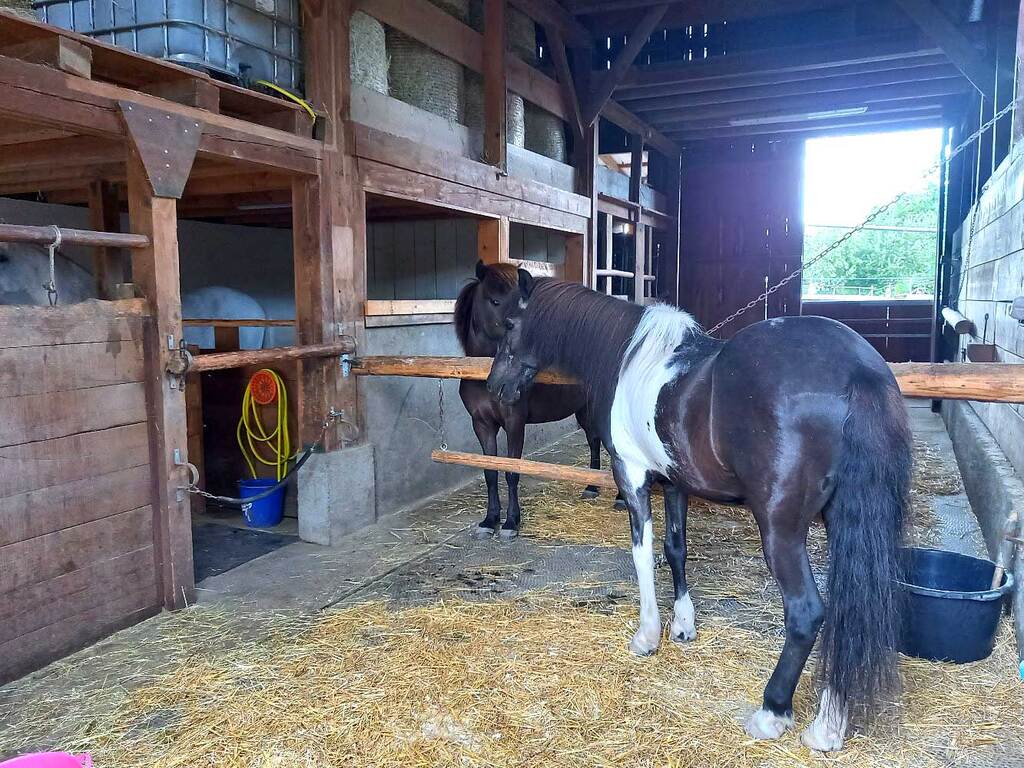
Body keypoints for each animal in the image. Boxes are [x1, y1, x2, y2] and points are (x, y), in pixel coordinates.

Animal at [454, 261, 617, 537]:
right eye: (495, 300)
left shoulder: (515, 424)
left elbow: (512, 472)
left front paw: (511, 522)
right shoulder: (482, 425)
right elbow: (490, 471)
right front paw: (490, 520)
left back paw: (619, 499)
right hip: (585, 411)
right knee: (594, 442)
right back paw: (591, 488)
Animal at [485, 271, 911, 752]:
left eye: (510, 324)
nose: (495, 387)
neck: (630, 357)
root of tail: (857, 369)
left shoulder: (632, 476)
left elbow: (643, 553)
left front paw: (648, 636)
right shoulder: (675, 483)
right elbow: (676, 549)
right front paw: (683, 627)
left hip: (780, 529)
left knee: (806, 613)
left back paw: (772, 712)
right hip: (844, 524)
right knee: (847, 613)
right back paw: (827, 727)